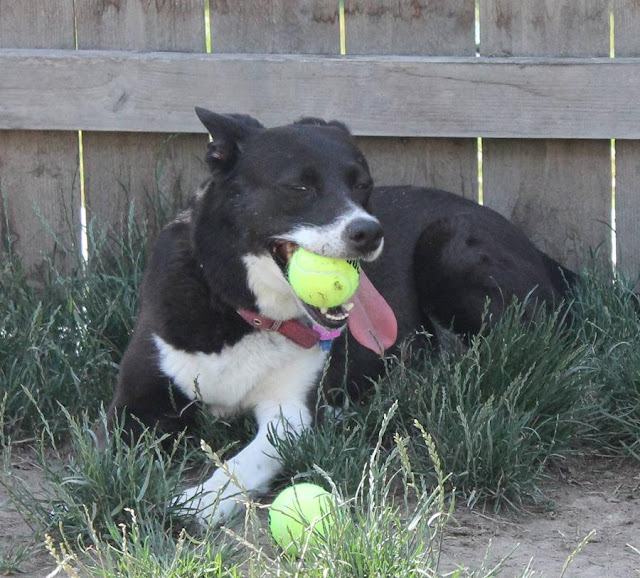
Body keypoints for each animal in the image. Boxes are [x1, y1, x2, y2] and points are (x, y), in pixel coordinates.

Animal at [106, 107, 576, 520]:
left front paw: (199, 503)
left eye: (363, 185)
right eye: (300, 188)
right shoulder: (133, 404)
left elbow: (246, 462)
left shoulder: (290, 415)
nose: (370, 232)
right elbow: (113, 453)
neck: (240, 311)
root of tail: (544, 255)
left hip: (449, 247)